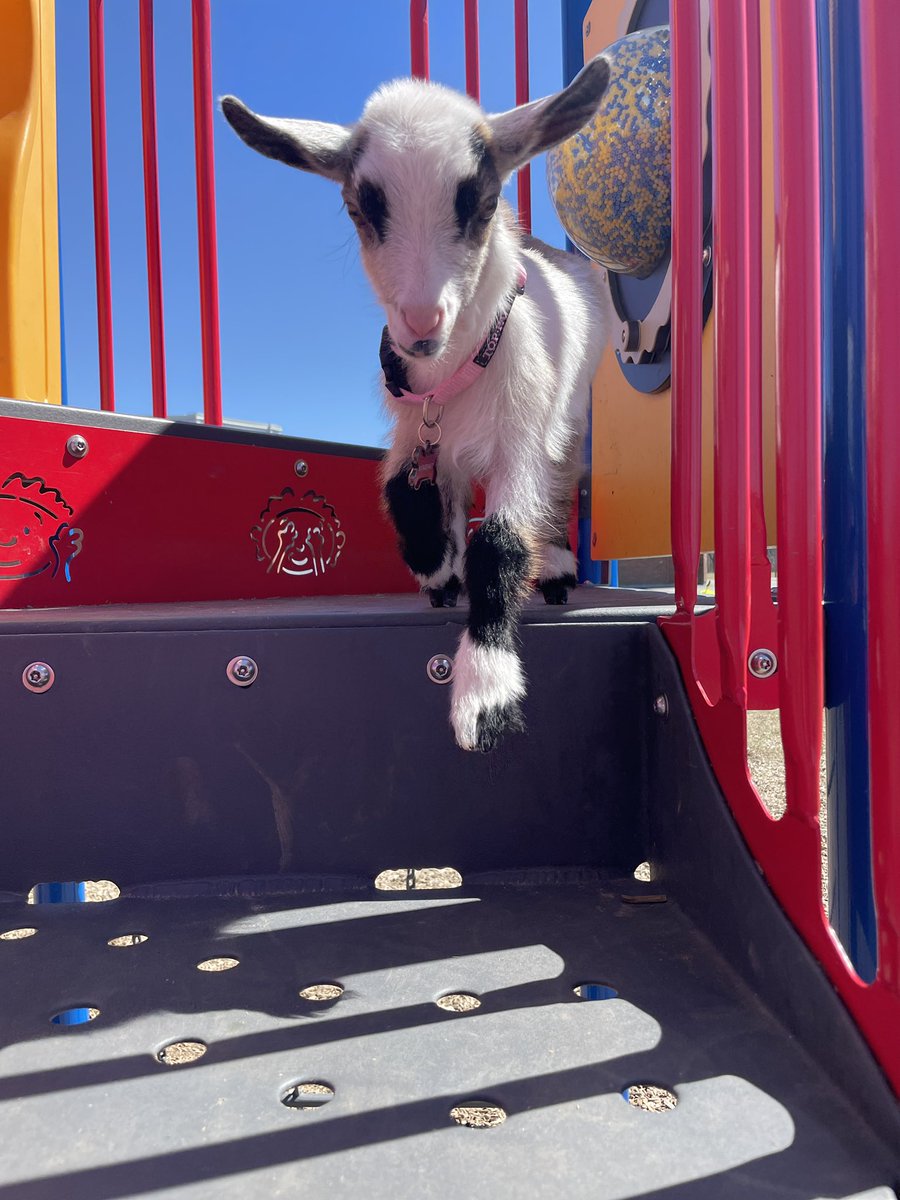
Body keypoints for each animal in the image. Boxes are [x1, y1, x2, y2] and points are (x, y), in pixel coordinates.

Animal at [222, 56, 613, 752]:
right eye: (359, 207)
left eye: (481, 202)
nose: (421, 322)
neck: (453, 374)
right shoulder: (413, 429)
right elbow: (406, 493)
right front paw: (436, 569)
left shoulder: (520, 439)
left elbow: (501, 545)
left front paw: (485, 695)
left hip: (568, 422)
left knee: (564, 485)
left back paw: (558, 570)